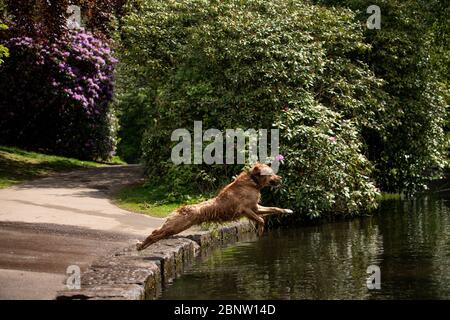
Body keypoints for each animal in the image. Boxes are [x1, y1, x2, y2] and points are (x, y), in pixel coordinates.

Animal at [136, 162, 292, 250]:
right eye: (271, 174)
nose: (280, 178)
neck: (253, 182)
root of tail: (181, 208)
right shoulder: (244, 209)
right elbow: (261, 220)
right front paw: (259, 231)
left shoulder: (256, 207)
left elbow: (274, 209)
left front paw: (288, 210)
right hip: (177, 225)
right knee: (156, 233)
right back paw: (141, 245)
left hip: (176, 227)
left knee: (157, 233)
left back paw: (142, 246)